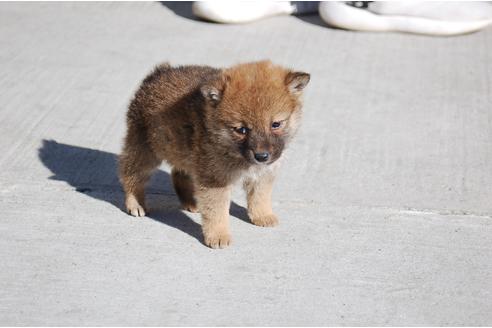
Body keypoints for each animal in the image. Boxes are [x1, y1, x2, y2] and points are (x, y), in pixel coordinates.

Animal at [118, 59, 310, 249]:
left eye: (276, 124)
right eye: (241, 130)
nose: (261, 156)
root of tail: (158, 73)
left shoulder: (263, 174)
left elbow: (260, 197)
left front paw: (262, 216)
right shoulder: (215, 179)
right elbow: (217, 211)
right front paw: (218, 236)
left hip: (185, 153)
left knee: (179, 174)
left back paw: (191, 202)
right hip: (145, 149)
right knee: (132, 175)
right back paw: (135, 203)